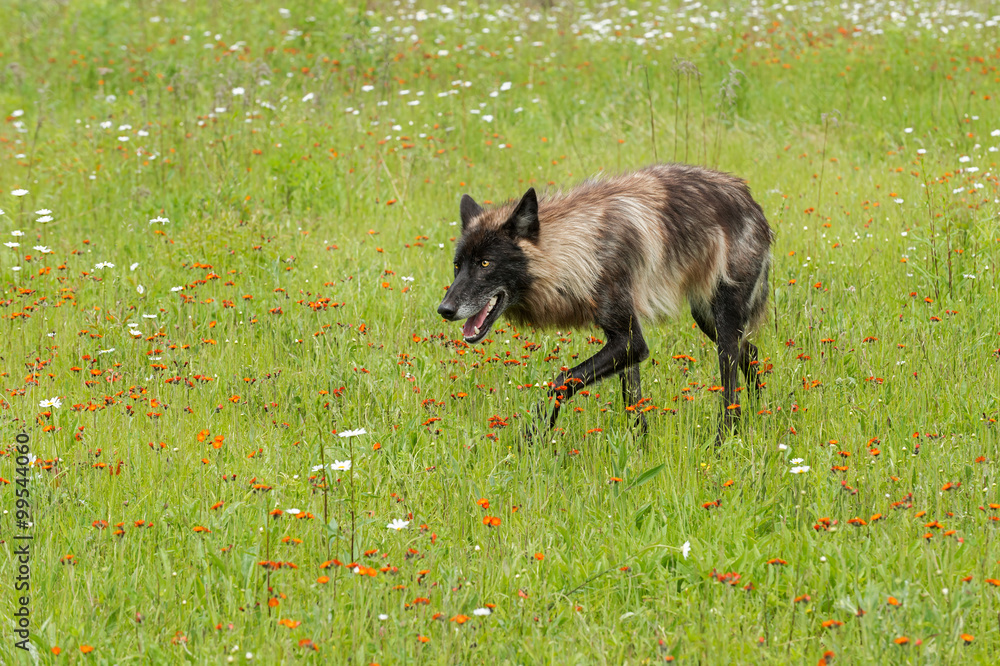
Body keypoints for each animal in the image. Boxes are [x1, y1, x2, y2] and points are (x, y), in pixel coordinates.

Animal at [437, 163, 774, 443]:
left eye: (485, 263)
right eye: (457, 266)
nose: (444, 310)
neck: (581, 250)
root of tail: (750, 199)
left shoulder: (630, 341)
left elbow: (561, 380)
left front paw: (529, 442)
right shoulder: (625, 341)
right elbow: (633, 403)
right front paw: (641, 451)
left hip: (721, 323)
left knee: (731, 387)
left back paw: (724, 441)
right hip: (707, 319)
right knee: (751, 353)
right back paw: (762, 411)